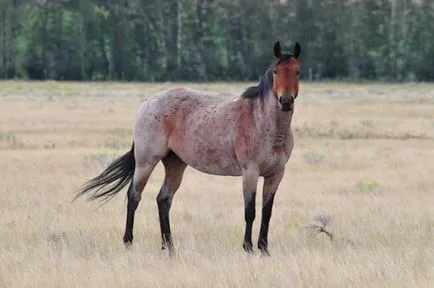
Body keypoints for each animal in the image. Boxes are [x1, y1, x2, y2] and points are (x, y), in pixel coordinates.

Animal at [76, 40, 302, 254]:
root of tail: (148, 103)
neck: (264, 124)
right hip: (146, 162)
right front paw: (247, 247)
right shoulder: (250, 172)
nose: (286, 101)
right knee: (134, 196)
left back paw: (169, 246)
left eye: (297, 71)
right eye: (276, 71)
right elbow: (250, 212)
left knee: (163, 199)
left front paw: (264, 248)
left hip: (175, 164)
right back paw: (129, 242)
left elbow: (267, 212)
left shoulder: (275, 174)